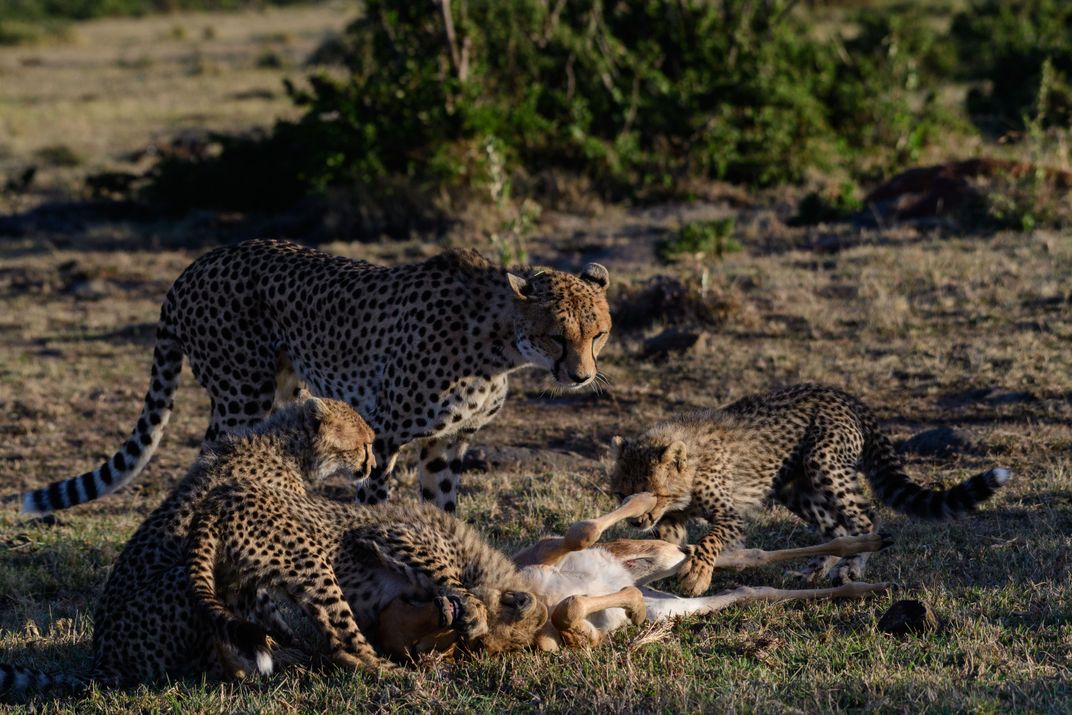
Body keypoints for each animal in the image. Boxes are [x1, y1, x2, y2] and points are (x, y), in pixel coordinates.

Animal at [0, 397, 375, 692]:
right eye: (362, 445)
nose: (371, 465)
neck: (288, 449)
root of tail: (103, 659)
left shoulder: (245, 571)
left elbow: (268, 614)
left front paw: (292, 645)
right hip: (181, 581)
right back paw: (236, 674)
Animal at [18, 239, 612, 516]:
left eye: (599, 333)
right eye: (557, 335)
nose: (581, 377)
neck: (499, 341)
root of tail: (197, 263)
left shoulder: (447, 443)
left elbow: (444, 508)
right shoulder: (387, 433)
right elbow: (376, 504)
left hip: (286, 391)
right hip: (241, 393)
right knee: (212, 459)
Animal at [184, 488, 548, 674]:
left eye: (480, 649)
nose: (462, 629)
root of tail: (214, 503)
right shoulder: (389, 536)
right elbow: (447, 576)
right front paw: (473, 612)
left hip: (249, 586)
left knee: (332, 645)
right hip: (312, 562)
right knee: (349, 642)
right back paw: (398, 675)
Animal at [608, 383, 1011, 595]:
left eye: (652, 492)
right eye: (621, 493)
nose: (637, 521)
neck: (690, 464)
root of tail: (840, 392)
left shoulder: (730, 515)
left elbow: (710, 540)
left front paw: (696, 574)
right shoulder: (672, 520)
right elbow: (671, 543)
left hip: (824, 462)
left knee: (865, 519)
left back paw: (851, 568)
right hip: (795, 488)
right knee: (836, 529)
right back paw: (813, 572)